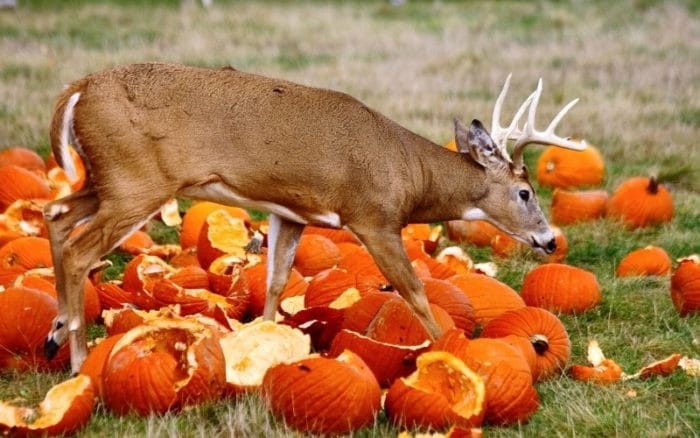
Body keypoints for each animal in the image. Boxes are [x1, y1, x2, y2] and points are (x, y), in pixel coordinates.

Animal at [42, 64, 584, 372]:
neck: (408, 172)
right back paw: (77, 361)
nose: (549, 240)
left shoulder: (291, 213)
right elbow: (414, 290)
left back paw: (53, 336)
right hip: (136, 182)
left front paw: (263, 346)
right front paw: (448, 348)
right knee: (78, 247)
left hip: (107, 180)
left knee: (55, 213)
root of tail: (78, 88)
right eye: (524, 192)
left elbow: (276, 281)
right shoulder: (372, 216)